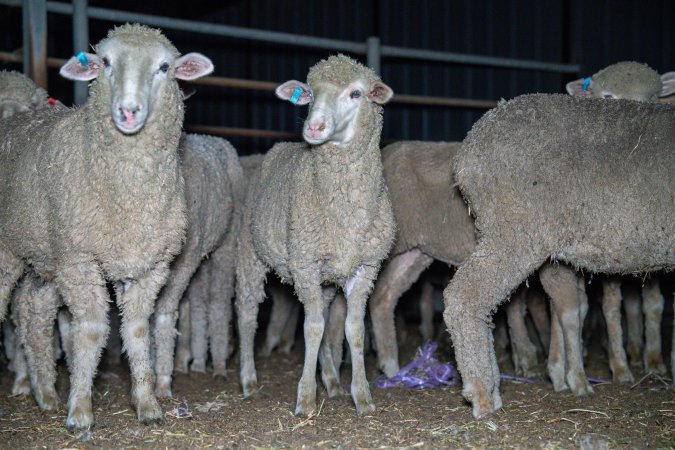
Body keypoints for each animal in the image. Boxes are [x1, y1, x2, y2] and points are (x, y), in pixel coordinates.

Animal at [0, 23, 214, 428]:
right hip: (18, 253)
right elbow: (90, 331)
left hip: (46, 260)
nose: (128, 112)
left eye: (165, 67)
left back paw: (46, 393)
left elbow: (137, 330)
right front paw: (81, 411)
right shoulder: (80, 260)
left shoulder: (149, 265)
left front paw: (147, 404)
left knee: (33, 312)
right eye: (106, 62)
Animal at [238, 54, 396, 416]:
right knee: (248, 315)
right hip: (249, 256)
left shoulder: (365, 268)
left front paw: (362, 396)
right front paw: (306, 398)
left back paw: (333, 381)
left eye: (356, 93)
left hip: (325, 280)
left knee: (323, 315)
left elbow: (352, 330)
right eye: (309, 93)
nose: (313, 128)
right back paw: (249, 380)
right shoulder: (305, 265)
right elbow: (311, 329)